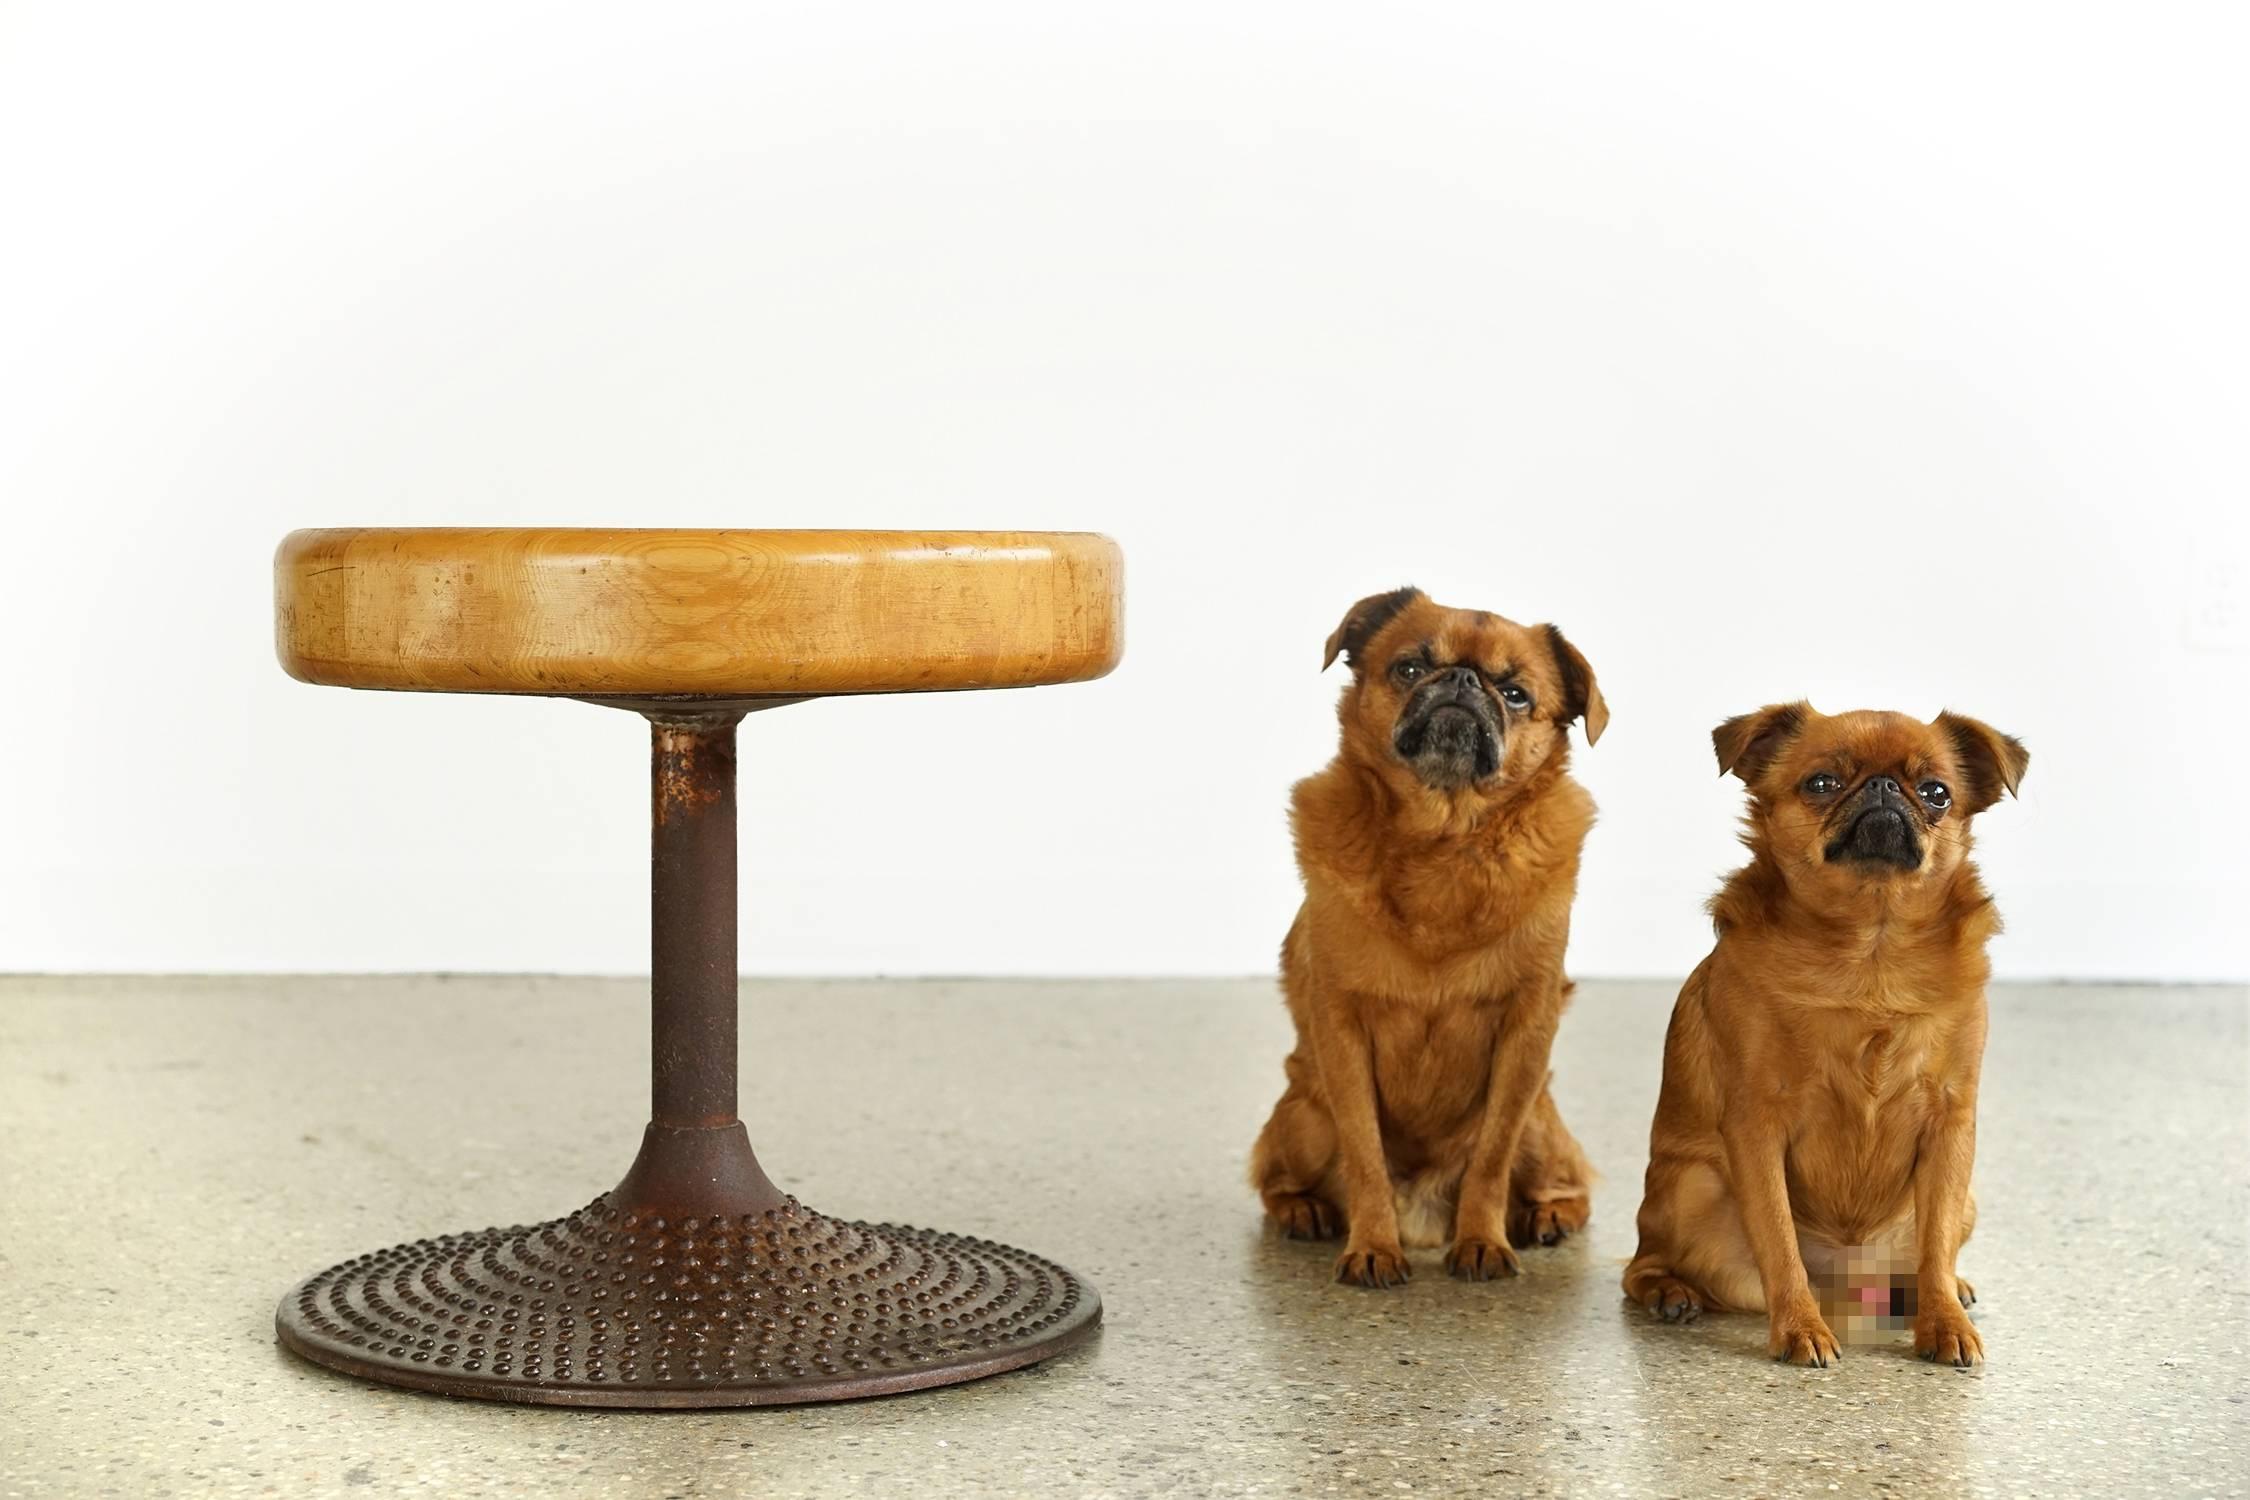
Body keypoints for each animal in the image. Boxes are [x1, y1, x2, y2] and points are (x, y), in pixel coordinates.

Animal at [1251, 584, 1602, 1295]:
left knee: (1568, 1180)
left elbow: (1491, 1159)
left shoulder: (1525, 1035)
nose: (1462, 681)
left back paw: (1547, 1217)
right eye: (1410, 667)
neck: (1445, 839)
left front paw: (1483, 1240)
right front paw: (1372, 1246)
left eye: (1515, 693)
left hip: (1540, 1126)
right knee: (1277, 1175)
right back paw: (1303, 1210)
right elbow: (1364, 1153)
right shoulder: (1341, 1031)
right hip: (1303, 1117)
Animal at [1629, 706, 2034, 1376]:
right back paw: (1670, 1291)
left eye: (1936, 792)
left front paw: (1944, 1320)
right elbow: (1778, 1242)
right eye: (1821, 783)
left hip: (1966, 1197)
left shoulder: (1952, 1126)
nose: (1884, 787)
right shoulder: (1756, 1126)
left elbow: (1937, 1241)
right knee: (1641, 1263)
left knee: (1935, 1250)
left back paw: (1943, 1290)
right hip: (1692, 1185)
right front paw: (1799, 1327)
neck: (1871, 948)